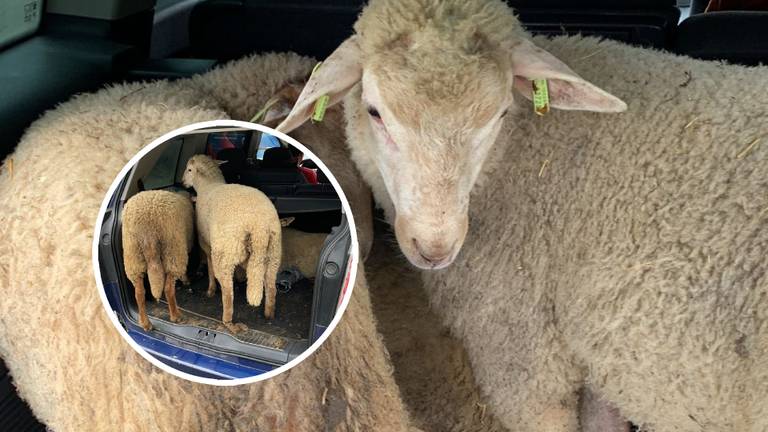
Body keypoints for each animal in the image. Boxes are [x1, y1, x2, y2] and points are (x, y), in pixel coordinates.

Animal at [120, 190, 194, 330]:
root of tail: (147, 226)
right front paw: (186, 279)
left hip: (133, 254)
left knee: (139, 292)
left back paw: (145, 323)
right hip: (173, 248)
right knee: (168, 288)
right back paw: (176, 316)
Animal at [276, 1, 768, 430]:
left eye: (499, 114)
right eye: (375, 112)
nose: (435, 247)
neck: (511, 155)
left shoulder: (523, 350)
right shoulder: (595, 362)